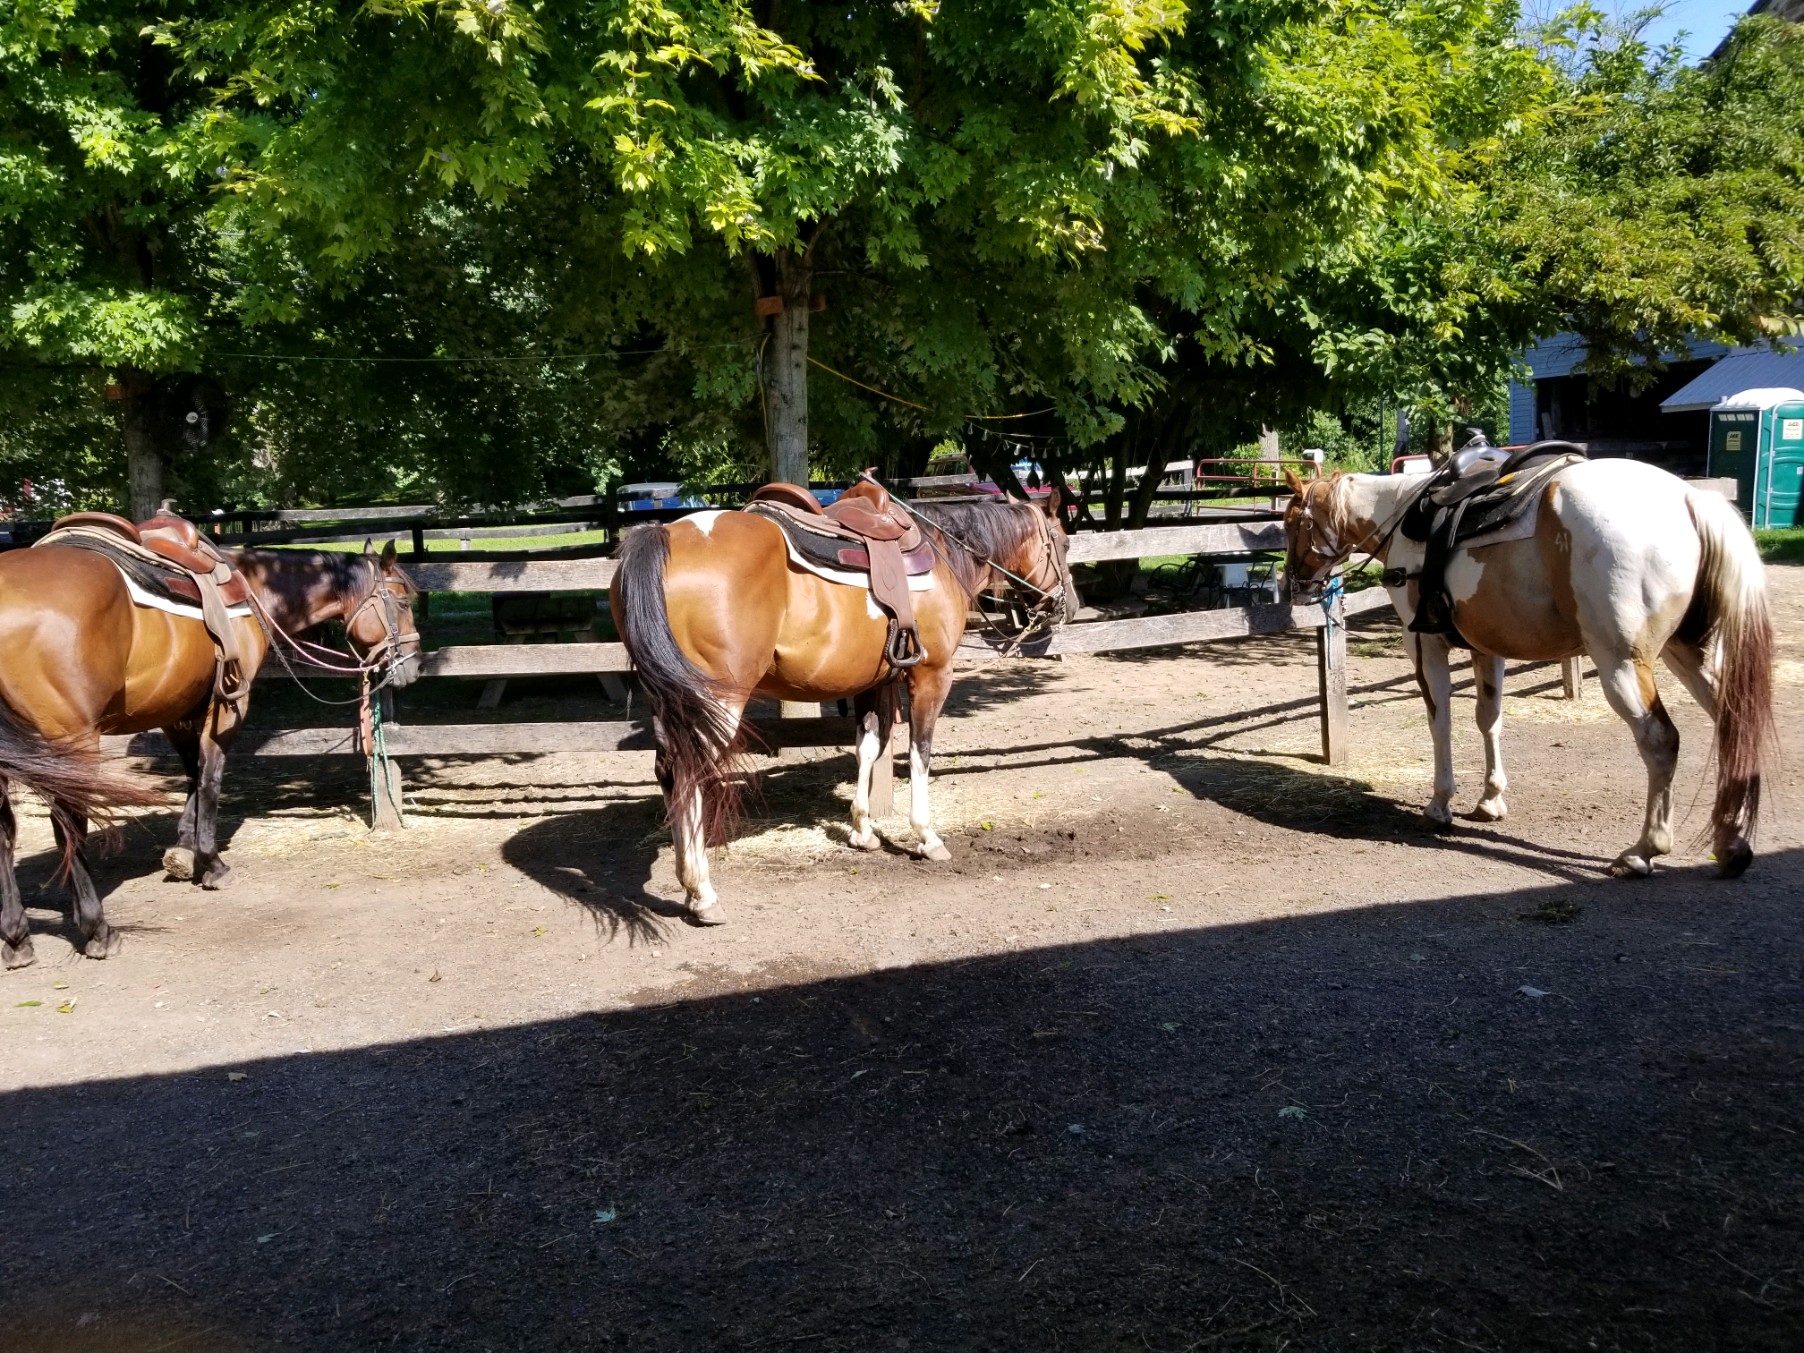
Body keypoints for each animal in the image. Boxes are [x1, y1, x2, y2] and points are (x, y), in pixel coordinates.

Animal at [0, 533, 418, 966]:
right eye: (404, 602)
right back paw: (98, 929)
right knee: (69, 828)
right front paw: (211, 862)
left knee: (6, 833)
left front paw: (183, 850)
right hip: (72, 743)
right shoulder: (227, 705)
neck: (255, 586)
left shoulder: (176, 706)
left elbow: (192, 773)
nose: (414, 665)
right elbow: (211, 778)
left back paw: (16, 937)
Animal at [613, 483, 1075, 923]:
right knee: (688, 774)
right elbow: (920, 753)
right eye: (1065, 543)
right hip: (717, 699)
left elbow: (868, 747)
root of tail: (664, 536)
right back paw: (702, 893)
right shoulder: (931, 676)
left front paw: (862, 829)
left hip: (669, 698)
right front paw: (926, 837)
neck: (944, 555)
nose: (1067, 605)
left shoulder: (875, 681)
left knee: (669, 772)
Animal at [1284, 456, 1775, 880]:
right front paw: (1490, 799)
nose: (1293, 584)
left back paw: (1643, 851)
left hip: (1621, 663)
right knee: (1732, 721)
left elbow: (1440, 722)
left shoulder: (1424, 644)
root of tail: (1689, 498)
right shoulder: (1487, 648)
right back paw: (1731, 843)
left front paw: (1440, 804)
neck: (1406, 517)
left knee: (1661, 741)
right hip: (1687, 652)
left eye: (1291, 523)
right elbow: (1489, 719)